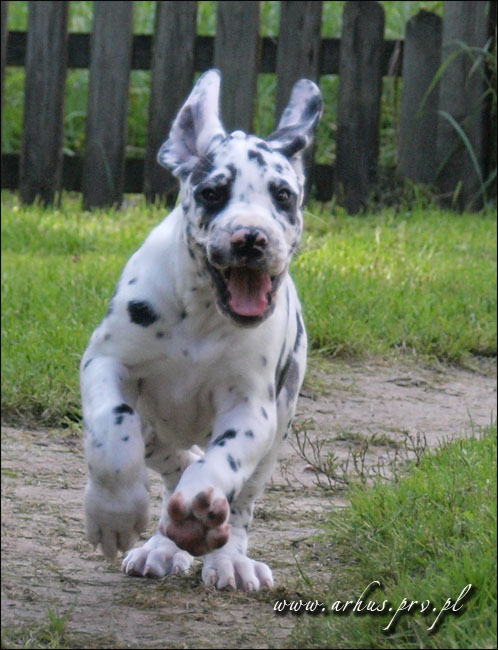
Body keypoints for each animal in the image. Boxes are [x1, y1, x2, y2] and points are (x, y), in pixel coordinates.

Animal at [81, 69, 322, 591]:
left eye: (283, 195)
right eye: (213, 192)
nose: (251, 238)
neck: (204, 314)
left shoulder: (252, 408)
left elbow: (222, 463)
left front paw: (197, 514)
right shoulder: (106, 363)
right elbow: (112, 431)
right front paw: (114, 512)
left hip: (280, 423)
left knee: (239, 498)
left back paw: (224, 553)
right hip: (155, 425)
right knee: (168, 456)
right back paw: (160, 544)